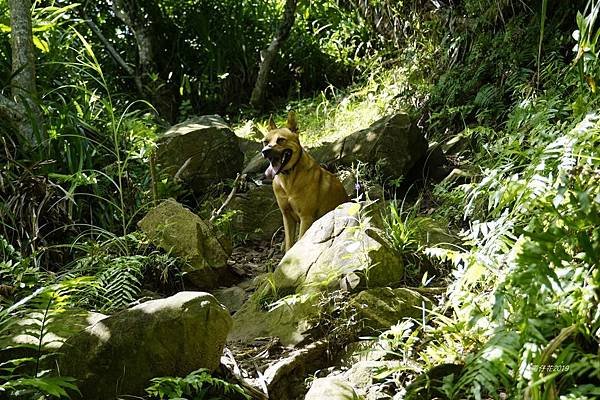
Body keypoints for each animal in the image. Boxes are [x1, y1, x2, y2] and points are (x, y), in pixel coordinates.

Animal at [260, 111, 350, 252]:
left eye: (281, 140)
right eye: (265, 142)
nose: (265, 151)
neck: (288, 179)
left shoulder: (306, 217)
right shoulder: (287, 217)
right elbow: (289, 244)